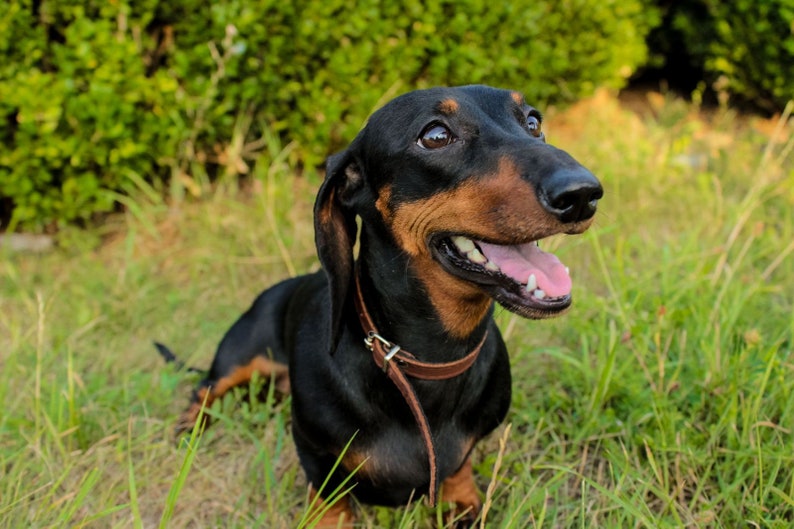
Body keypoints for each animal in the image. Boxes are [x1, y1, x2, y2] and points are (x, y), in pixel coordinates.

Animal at [166, 84, 600, 524]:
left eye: (533, 122)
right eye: (436, 135)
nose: (583, 194)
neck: (429, 363)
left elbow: (459, 471)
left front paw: (461, 498)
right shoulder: (315, 452)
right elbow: (328, 496)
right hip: (239, 355)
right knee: (205, 388)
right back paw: (188, 429)